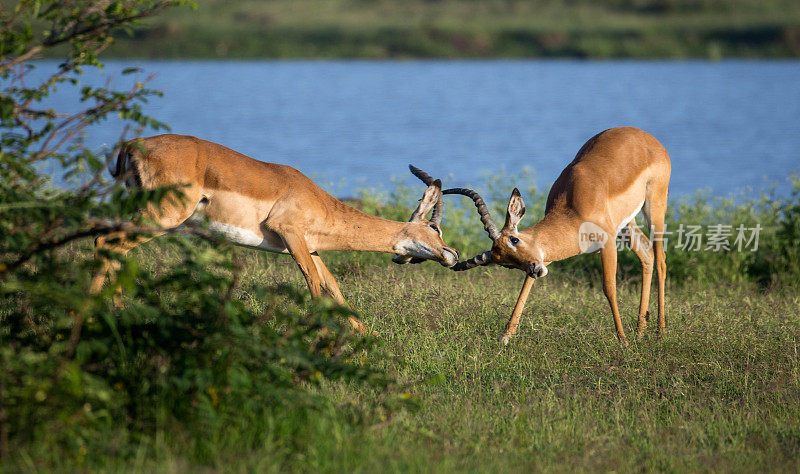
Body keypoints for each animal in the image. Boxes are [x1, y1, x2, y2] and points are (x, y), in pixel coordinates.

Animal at [88, 135, 460, 332]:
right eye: (435, 227)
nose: (452, 255)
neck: (317, 201)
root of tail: (134, 143)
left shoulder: (311, 247)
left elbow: (333, 285)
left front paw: (364, 336)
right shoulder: (289, 233)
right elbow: (312, 281)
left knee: (111, 244)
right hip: (163, 216)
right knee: (107, 242)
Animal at [446, 128, 672, 346]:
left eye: (514, 239)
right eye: (506, 264)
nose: (535, 269)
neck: (573, 208)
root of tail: (646, 137)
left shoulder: (606, 241)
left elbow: (609, 287)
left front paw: (622, 342)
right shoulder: (546, 254)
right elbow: (526, 286)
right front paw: (505, 337)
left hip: (654, 207)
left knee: (661, 260)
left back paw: (660, 333)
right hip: (627, 223)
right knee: (647, 254)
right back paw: (640, 332)